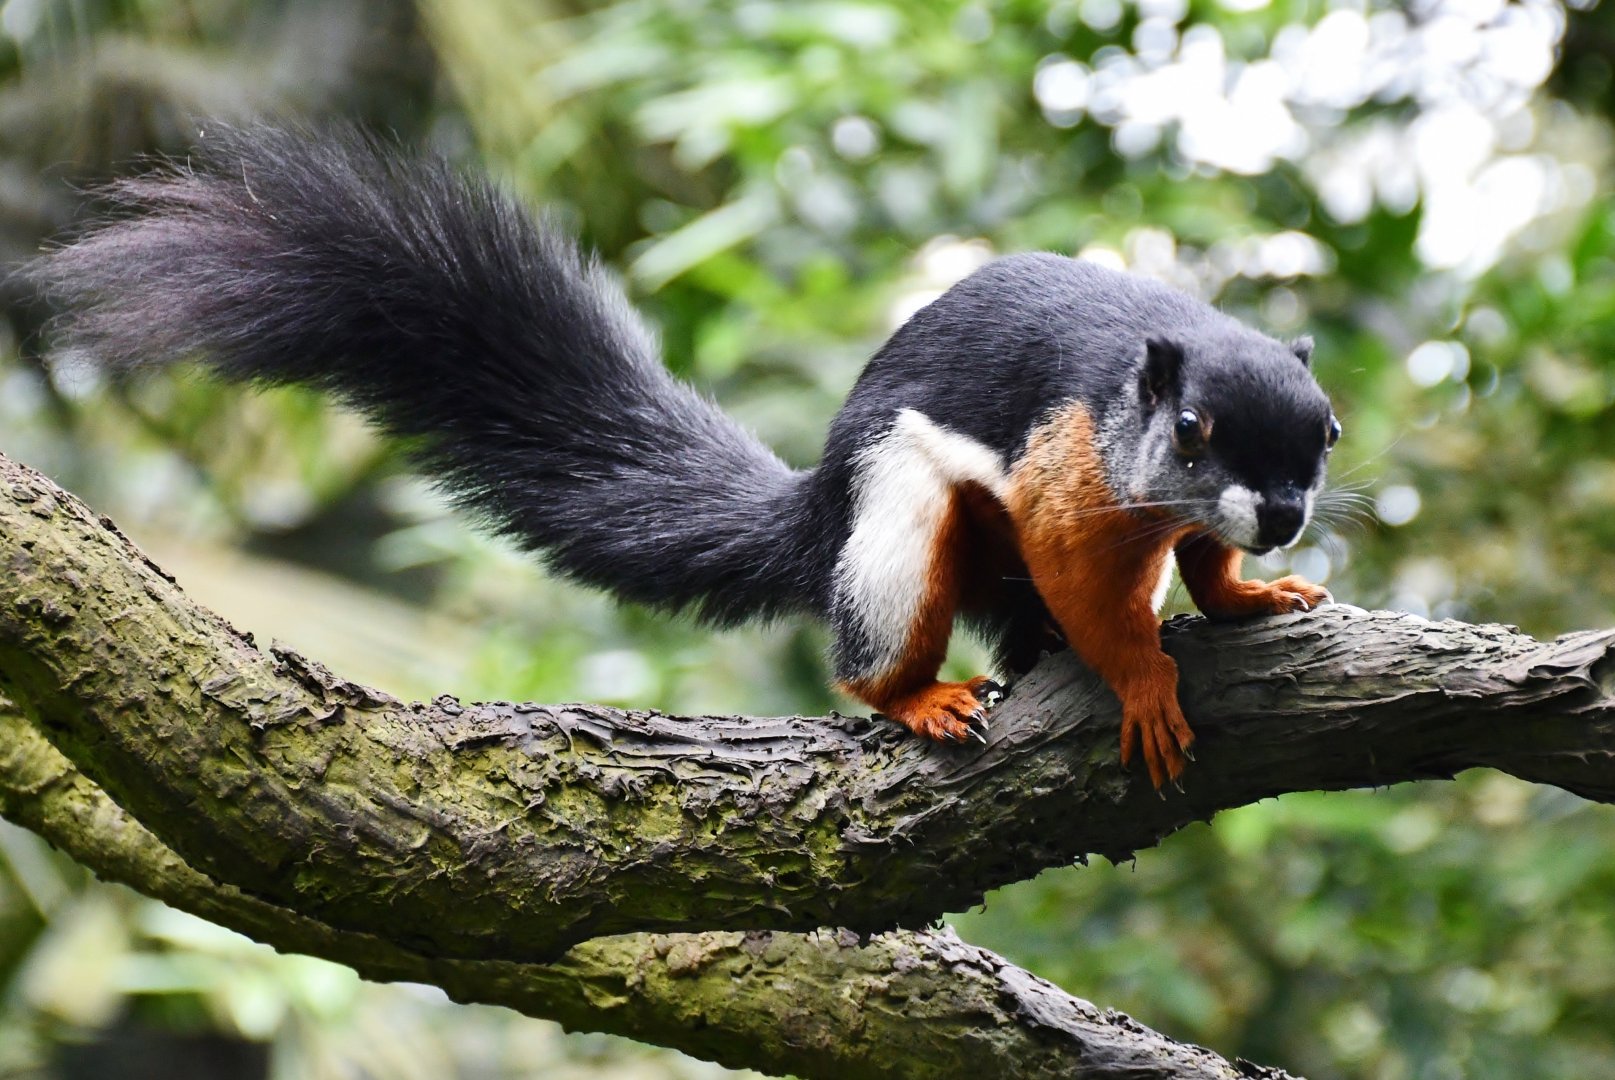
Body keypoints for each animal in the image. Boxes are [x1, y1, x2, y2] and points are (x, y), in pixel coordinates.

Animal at [27, 126, 1338, 789]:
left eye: (1324, 434)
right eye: (1190, 433)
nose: (1280, 514)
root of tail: (818, 504)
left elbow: (1201, 567)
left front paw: (1252, 591)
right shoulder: (1068, 472)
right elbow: (1083, 574)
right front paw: (1141, 678)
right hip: (894, 518)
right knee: (881, 641)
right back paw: (919, 695)